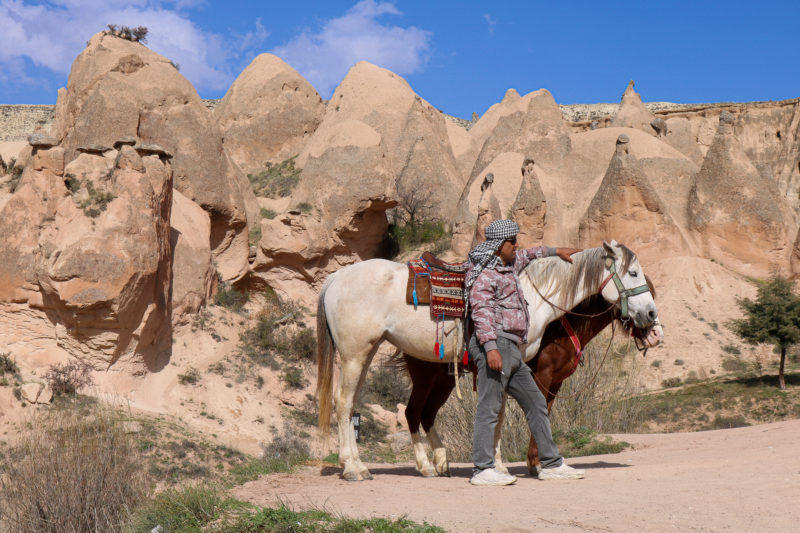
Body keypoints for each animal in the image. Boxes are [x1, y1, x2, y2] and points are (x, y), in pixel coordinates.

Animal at [400, 278, 656, 478]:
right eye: (639, 301)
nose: (656, 334)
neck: (559, 330)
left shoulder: (555, 382)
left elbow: (544, 413)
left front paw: (538, 461)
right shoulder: (542, 377)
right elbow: (536, 412)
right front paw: (536, 463)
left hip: (444, 380)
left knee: (427, 413)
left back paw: (442, 463)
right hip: (425, 377)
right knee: (413, 412)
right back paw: (425, 466)